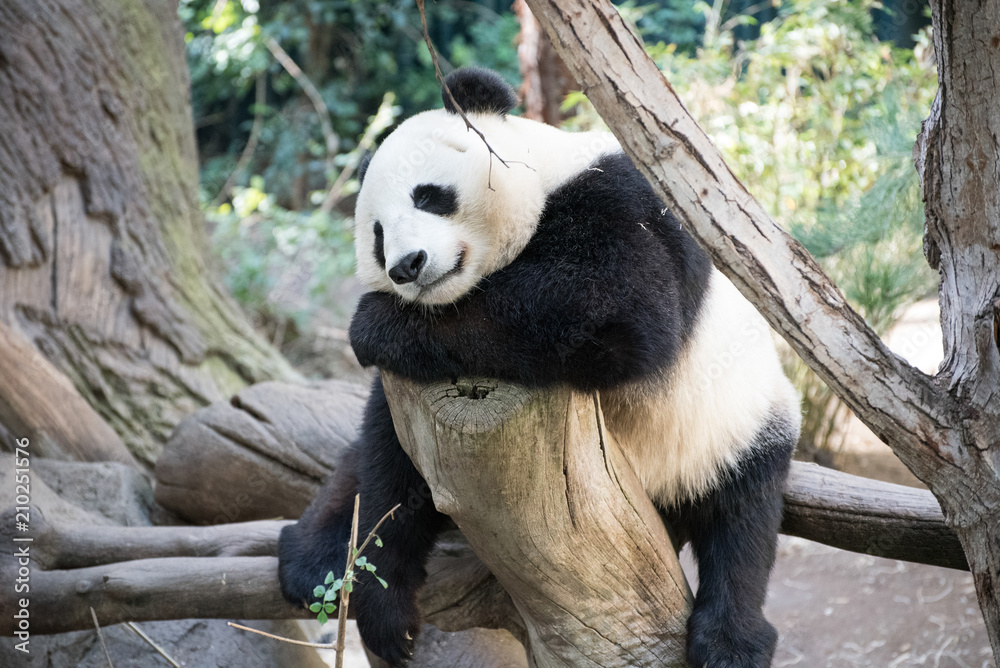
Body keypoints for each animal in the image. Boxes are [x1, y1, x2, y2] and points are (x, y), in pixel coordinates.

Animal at [279, 67, 801, 668]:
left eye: (429, 196)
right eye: (377, 234)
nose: (407, 266)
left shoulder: (620, 199)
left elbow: (614, 303)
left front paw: (374, 325)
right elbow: (391, 472)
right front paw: (384, 609)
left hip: (730, 424)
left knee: (741, 521)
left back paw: (732, 640)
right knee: (365, 454)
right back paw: (310, 554)